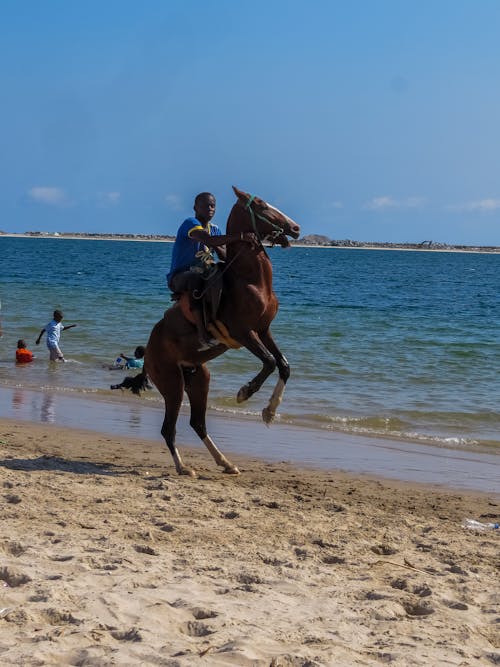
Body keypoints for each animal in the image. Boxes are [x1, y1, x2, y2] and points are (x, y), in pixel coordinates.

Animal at [130, 188, 300, 478]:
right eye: (261, 205)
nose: (295, 228)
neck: (250, 280)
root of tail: (149, 350)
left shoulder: (264, 330)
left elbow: (284, 365)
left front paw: (270, 411)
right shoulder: (244, 333)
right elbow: (268, 362)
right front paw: (245, 392)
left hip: (199, 379)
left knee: (197, 423)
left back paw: (225, 462)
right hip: (172, 384)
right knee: (168, 428)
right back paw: (184, 467)